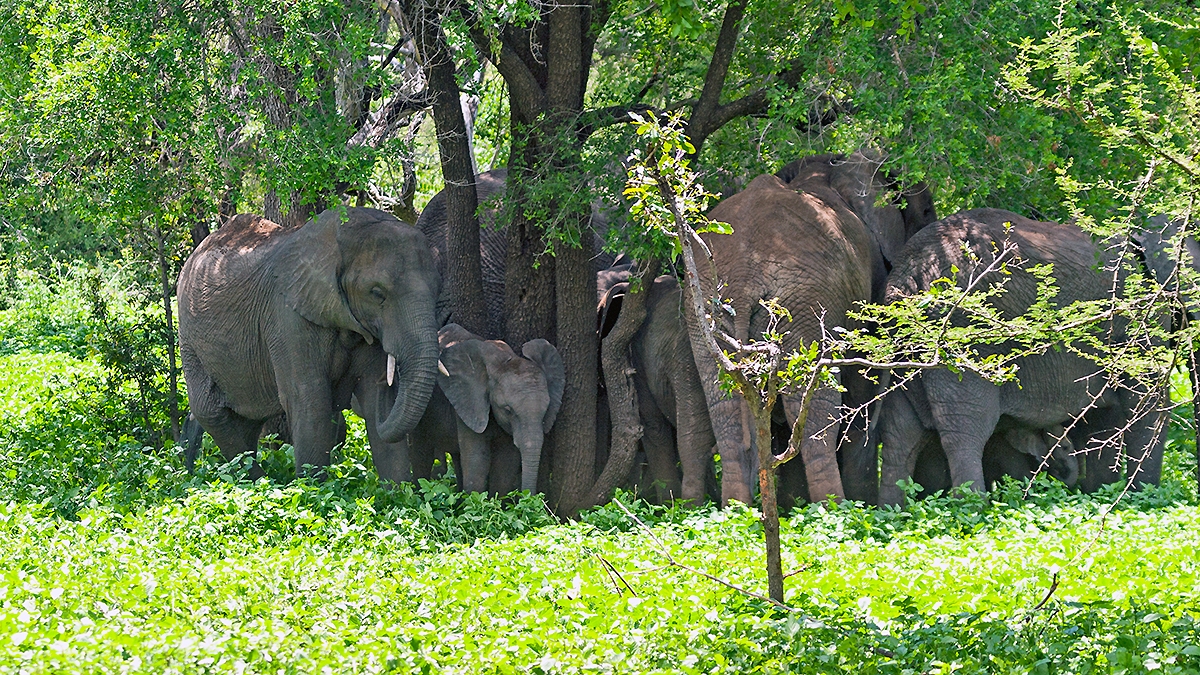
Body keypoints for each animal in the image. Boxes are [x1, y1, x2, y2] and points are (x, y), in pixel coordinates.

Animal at [178, 207, 441, 483]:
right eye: (377, 293)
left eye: (438, 289)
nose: (388, 380)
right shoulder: (287, 316)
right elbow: (309, 399)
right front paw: (311, 488)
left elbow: (372, 397)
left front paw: (400, 491)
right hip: (188, 332)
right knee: (210, 410)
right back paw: (260, 481)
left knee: (246, 420)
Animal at [409, 323, 565, 493]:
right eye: (508, 410)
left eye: (546, 412)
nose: (529, 496)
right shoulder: (469, 402)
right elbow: (477, 462)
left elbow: (505, 467)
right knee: (421, 452)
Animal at [692, 151, 937, 506]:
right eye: (927, 211)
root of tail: (743, 276)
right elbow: (863, 380)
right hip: (807, 302)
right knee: (814, 417)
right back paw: (836, 509)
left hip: (704, 313)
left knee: (726, 415)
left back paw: (736, 512)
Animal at [876, 208, 1166, 506]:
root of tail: (905, 280)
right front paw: (1137, 496)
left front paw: (1102, 492)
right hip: (962, 338)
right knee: (965, 432)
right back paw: (973, 509)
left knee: (900, 432)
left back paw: (893, 509)